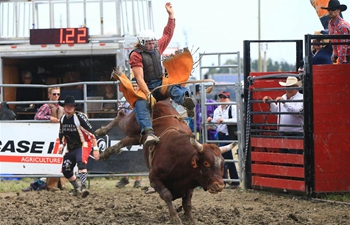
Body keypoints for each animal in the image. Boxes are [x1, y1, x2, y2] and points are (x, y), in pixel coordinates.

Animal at [95, 100, 238, 225]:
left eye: (222, 163)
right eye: (206, 163)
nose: (219, 185)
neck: (182, 160)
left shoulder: (190, 183)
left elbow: (187, 202)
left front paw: (190, 219)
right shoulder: (154, 178)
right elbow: (167, 195)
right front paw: (175, 218)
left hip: (138, 136)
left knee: (126, 139)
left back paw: (107, 151)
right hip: (132, 124)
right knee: (121, 116)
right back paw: (101, 131)